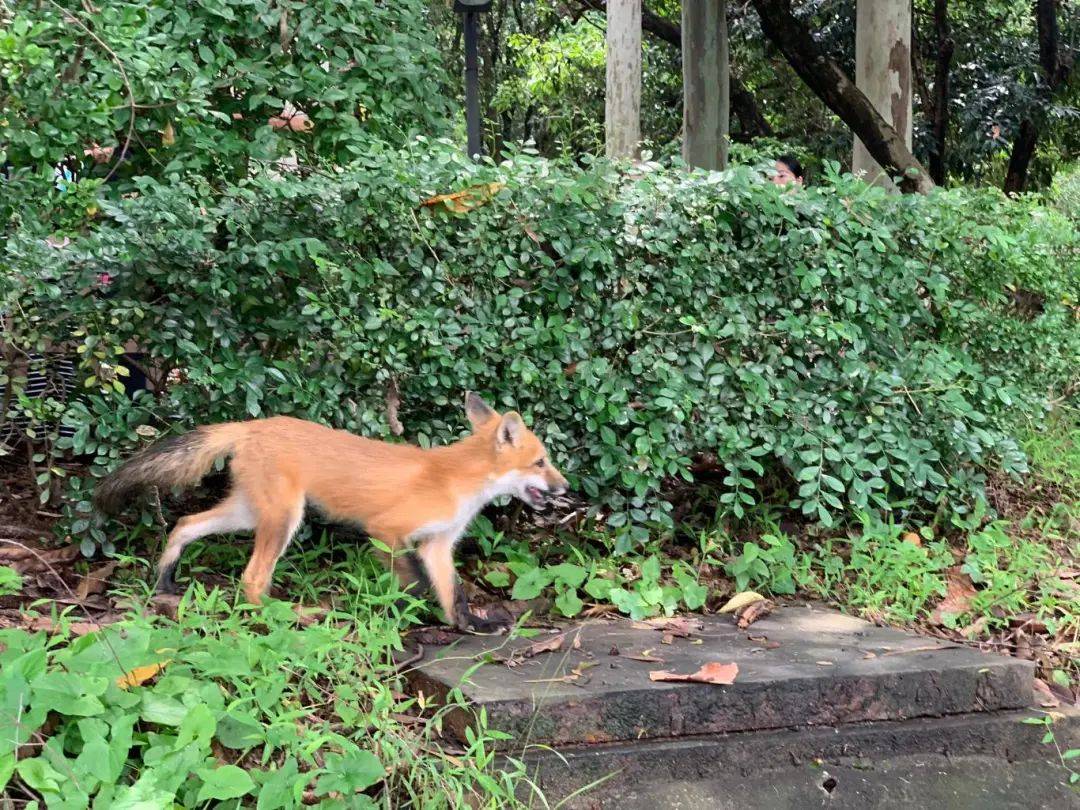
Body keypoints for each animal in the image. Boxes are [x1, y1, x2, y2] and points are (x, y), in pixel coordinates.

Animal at [93, 395, 570, 635]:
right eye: (542, 462)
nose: (566, 489)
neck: (456, 480)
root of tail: (252, 425)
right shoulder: (387, 531)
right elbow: (415, 584)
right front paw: (410, 613)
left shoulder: (437, 544)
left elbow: (455, 594)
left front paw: (467, 626)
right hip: (283, 519)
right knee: (252, 579)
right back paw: (284, 618)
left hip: (248, 513)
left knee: (185, 524)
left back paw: (165, 580)